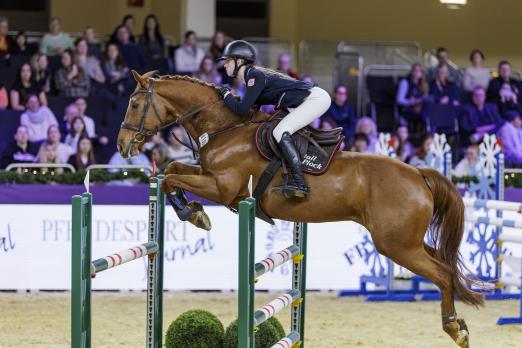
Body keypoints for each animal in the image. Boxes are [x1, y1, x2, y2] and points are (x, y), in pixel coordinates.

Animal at [118, 70, 484, 346]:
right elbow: (171, 170)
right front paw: (192, 210)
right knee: (445, 266)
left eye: (135, 103)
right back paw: (461, 324)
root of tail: (419, 174)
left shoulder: (222, 188)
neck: (224, 128)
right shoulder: (208, 178)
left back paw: (455, 328)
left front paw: (193, 213)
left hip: (396, 245)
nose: (123, 146)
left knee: (442, 274)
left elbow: (170, 178)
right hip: (408, 241)